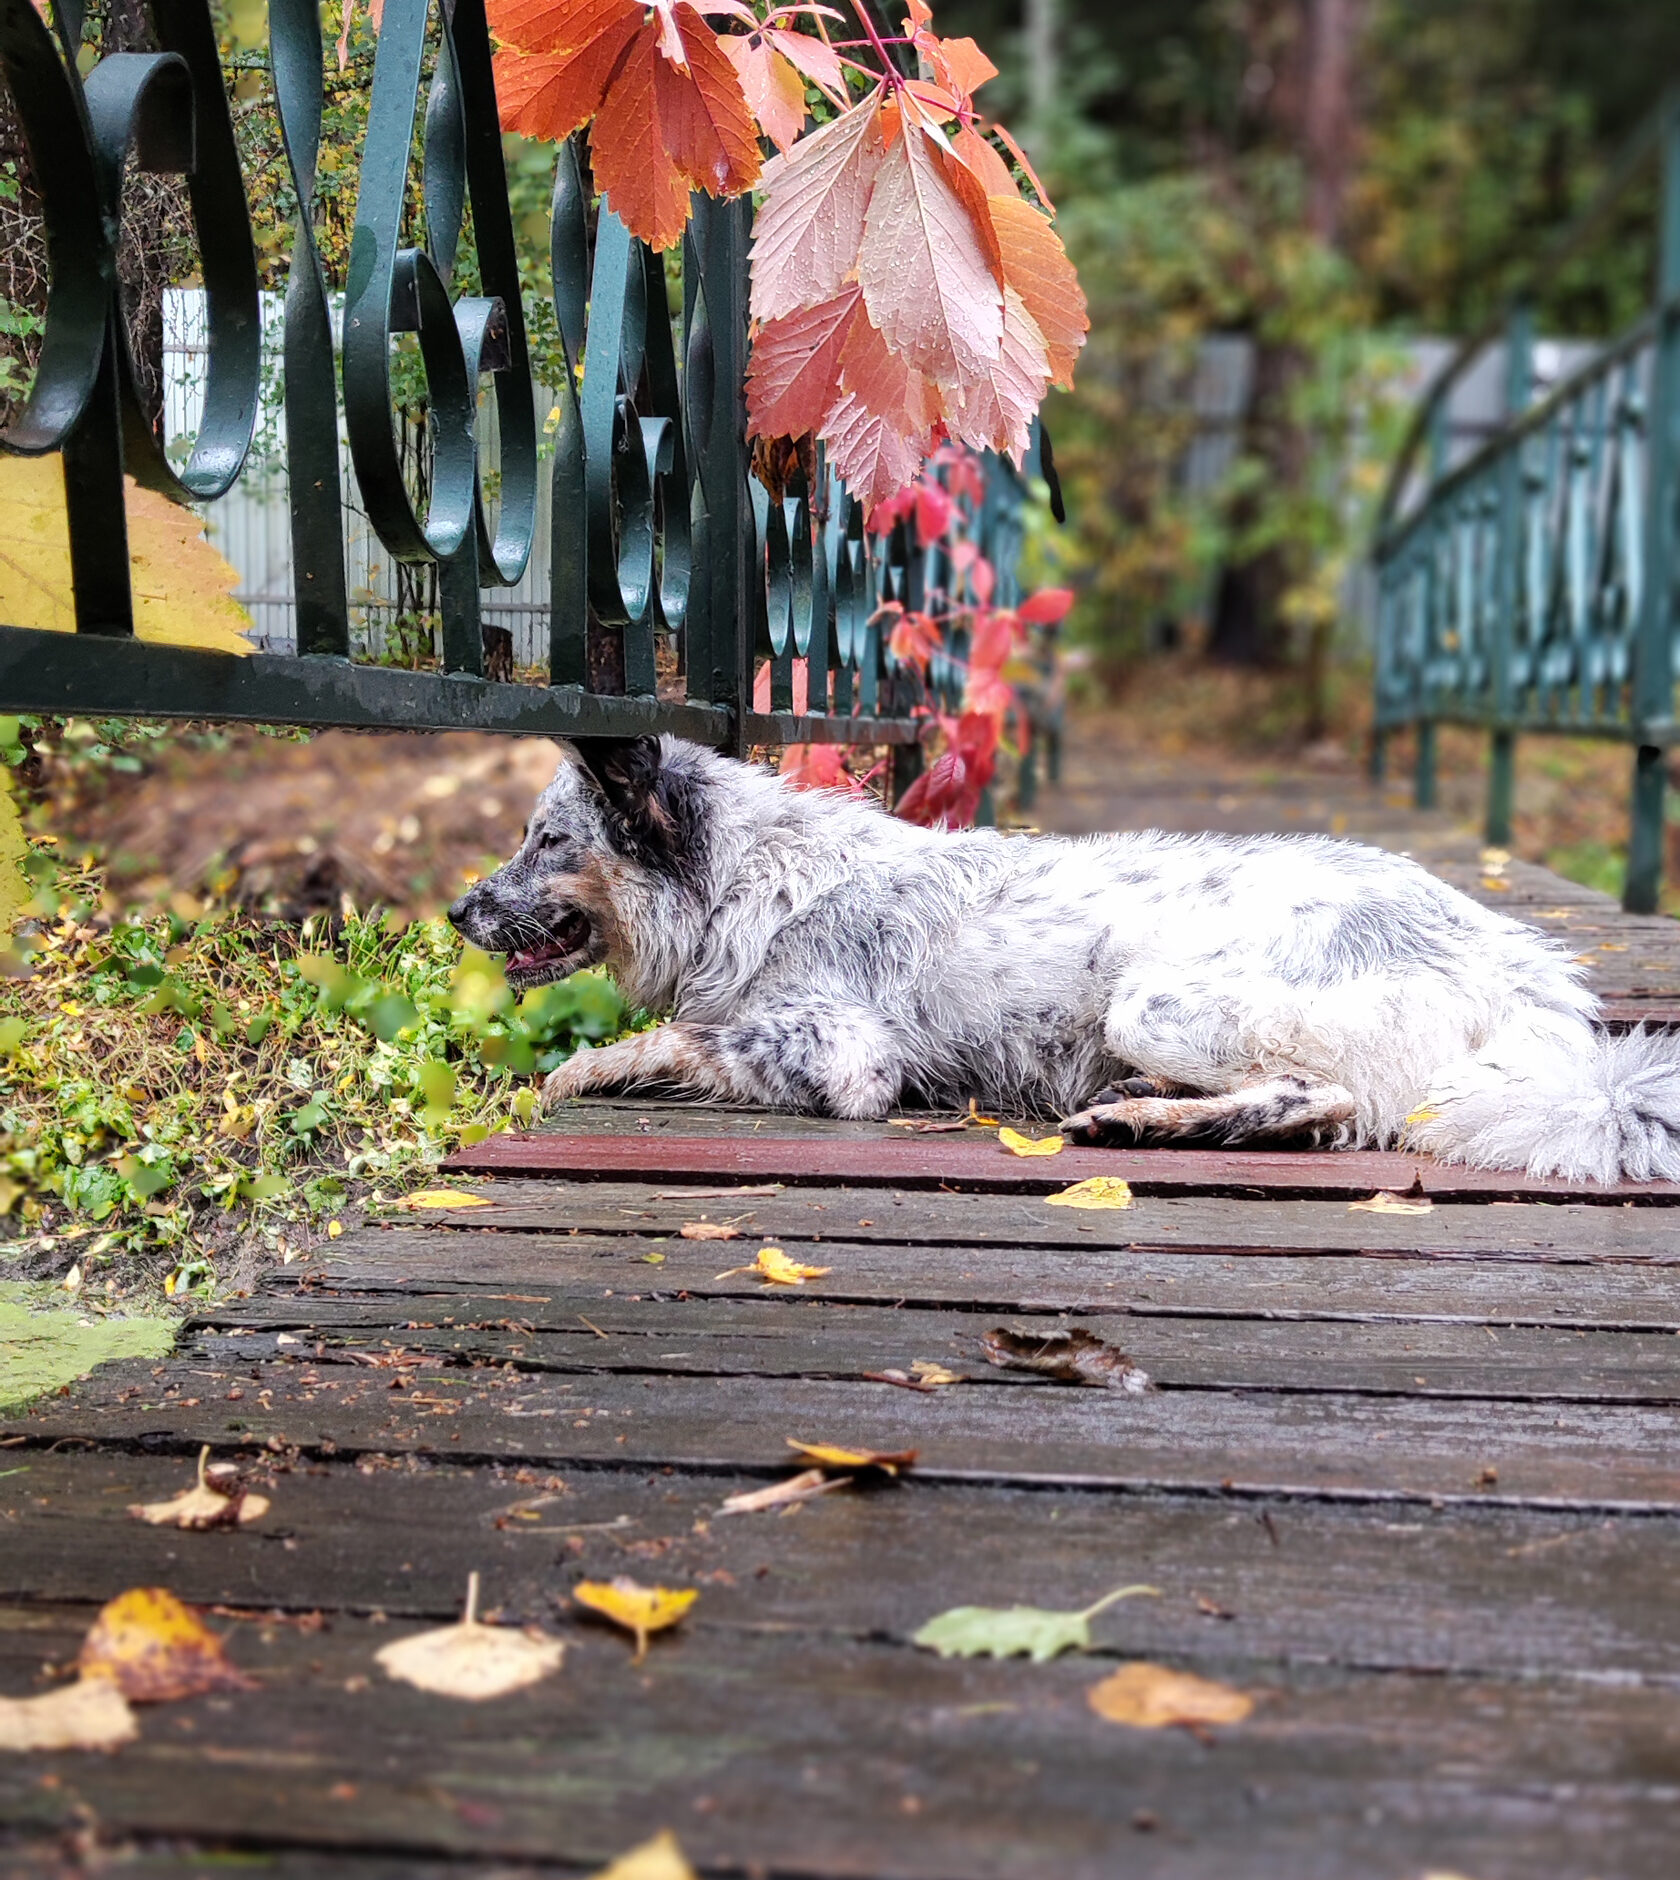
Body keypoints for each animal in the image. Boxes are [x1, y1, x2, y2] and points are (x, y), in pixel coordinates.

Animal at [443, 729, 1680, 1173]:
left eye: (547, 839)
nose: (457, 911)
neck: (756, 883)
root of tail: (1523, 974)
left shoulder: (844, 1053)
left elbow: (667, 1038)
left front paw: (562, 1076)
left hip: (1158, 997)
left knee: (1320, 1099)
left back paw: (1151, 1119)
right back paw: (1148, 1105)